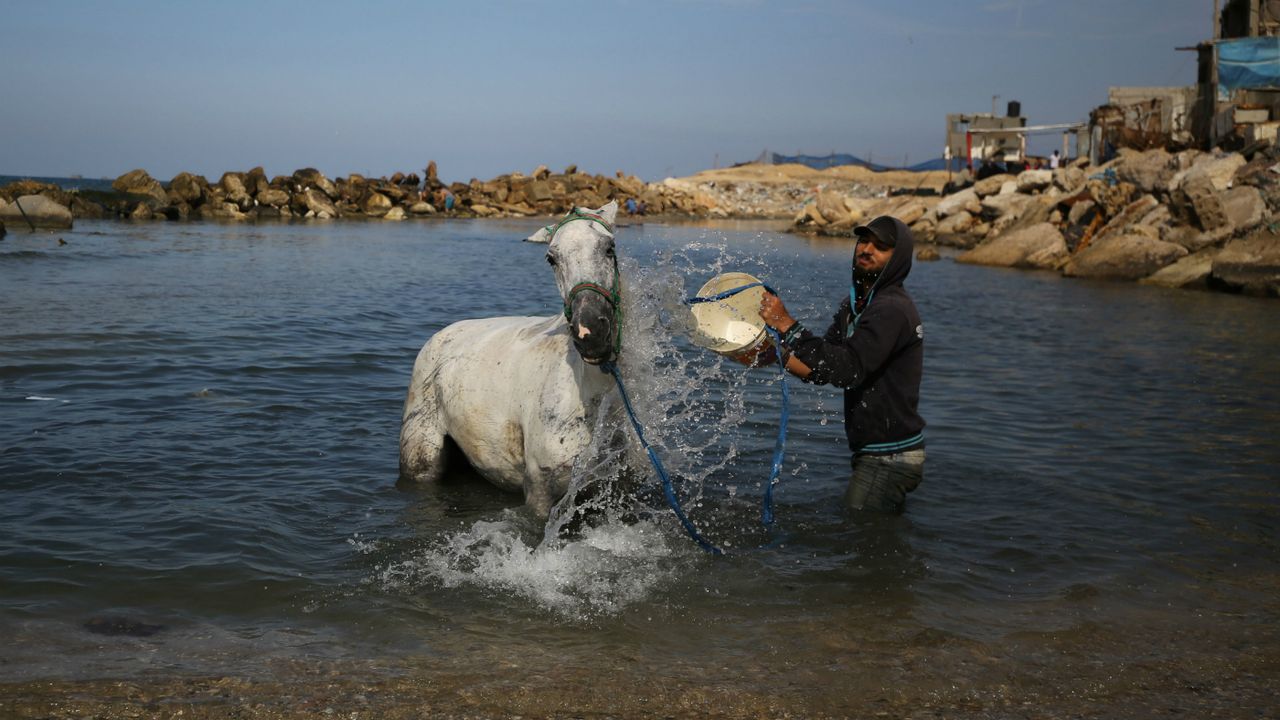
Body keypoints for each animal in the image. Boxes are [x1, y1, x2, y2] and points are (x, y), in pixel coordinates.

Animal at [398, 201, 626, 518]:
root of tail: (442, 333)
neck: (591, 392)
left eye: (609, 247)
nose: (589, 330)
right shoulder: (540, 493)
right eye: (551, 259)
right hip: (420, 454)